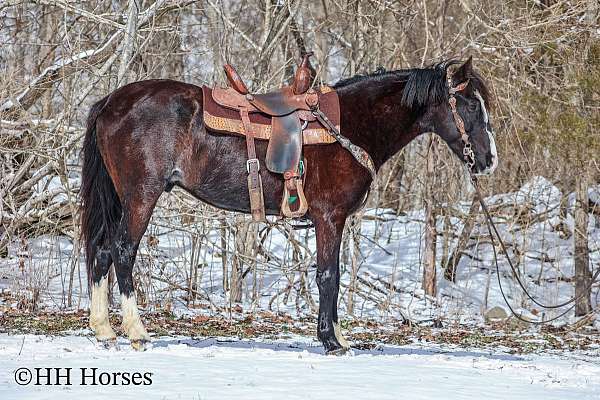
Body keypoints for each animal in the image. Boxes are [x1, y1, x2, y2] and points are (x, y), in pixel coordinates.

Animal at [79, 57, 496, 354]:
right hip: (141, 196)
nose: (489, 159)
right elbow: (329, 275)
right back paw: (136, 331)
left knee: (101, 251)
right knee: (123, 251)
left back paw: (104, 329)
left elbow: (331, 276)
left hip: (120, 198)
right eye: (470, 106)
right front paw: (332, 341)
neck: (347, 127)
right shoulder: (330, 218)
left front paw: (336, 337)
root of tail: (111, 102)